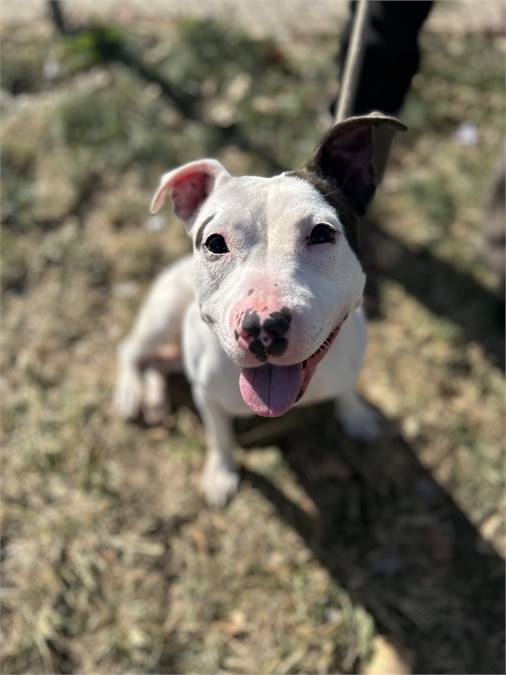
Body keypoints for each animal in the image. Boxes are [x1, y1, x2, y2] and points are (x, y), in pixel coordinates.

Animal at [112, 113, 406, 508]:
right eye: (215, 243)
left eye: (322, 234)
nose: (263, 326)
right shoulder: (207, 396)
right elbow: (220, 437)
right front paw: (221, 474)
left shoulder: (349, 365)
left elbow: (346, 391)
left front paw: (356, 417)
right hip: (164, 316)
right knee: (131, 350)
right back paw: (130, 393)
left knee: (157, 363)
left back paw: (155, 400)